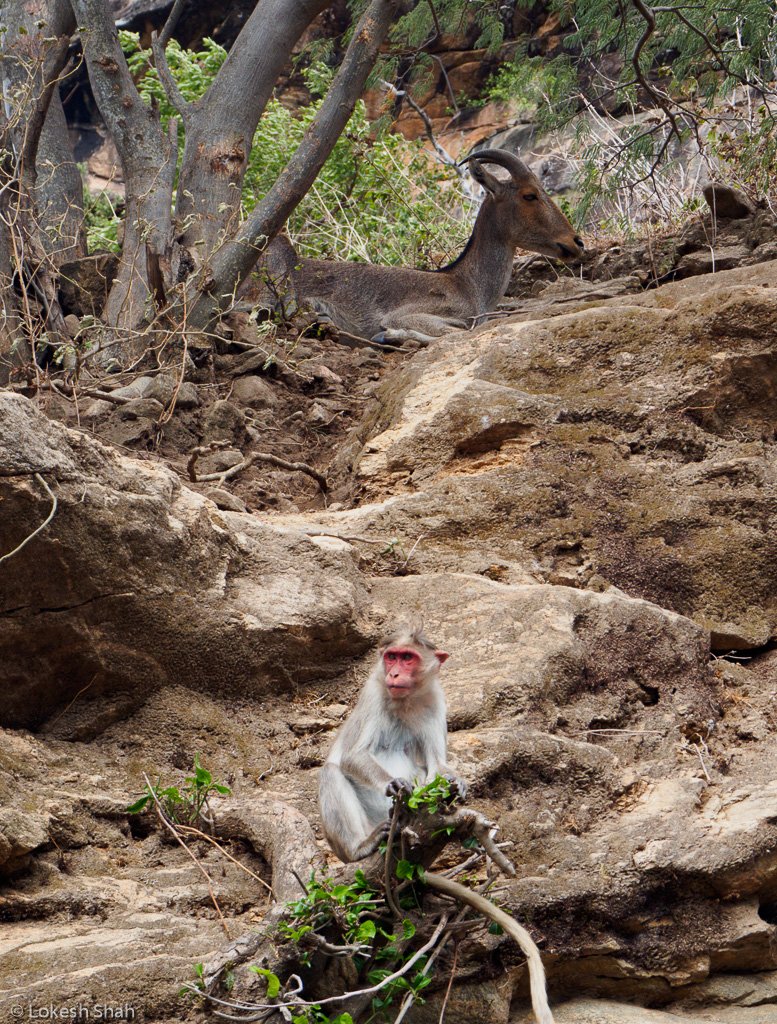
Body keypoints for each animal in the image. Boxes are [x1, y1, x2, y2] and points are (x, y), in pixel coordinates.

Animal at [261, 149, 581, 346]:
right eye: (530, 195)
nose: (575, 242)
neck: (469, 285)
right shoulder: (410, 313)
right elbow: (451, 333)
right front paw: (388, 335)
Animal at [317, 630, 468, 864]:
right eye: (391, 657)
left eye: (407, 658)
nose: (394, 674)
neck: (405, 700)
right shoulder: (372, 693)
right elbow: (353, 756)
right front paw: (394, 783)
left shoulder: (435, 700)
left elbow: (437, 765)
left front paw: (455, 781)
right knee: (330, 772)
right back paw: (360, 847)